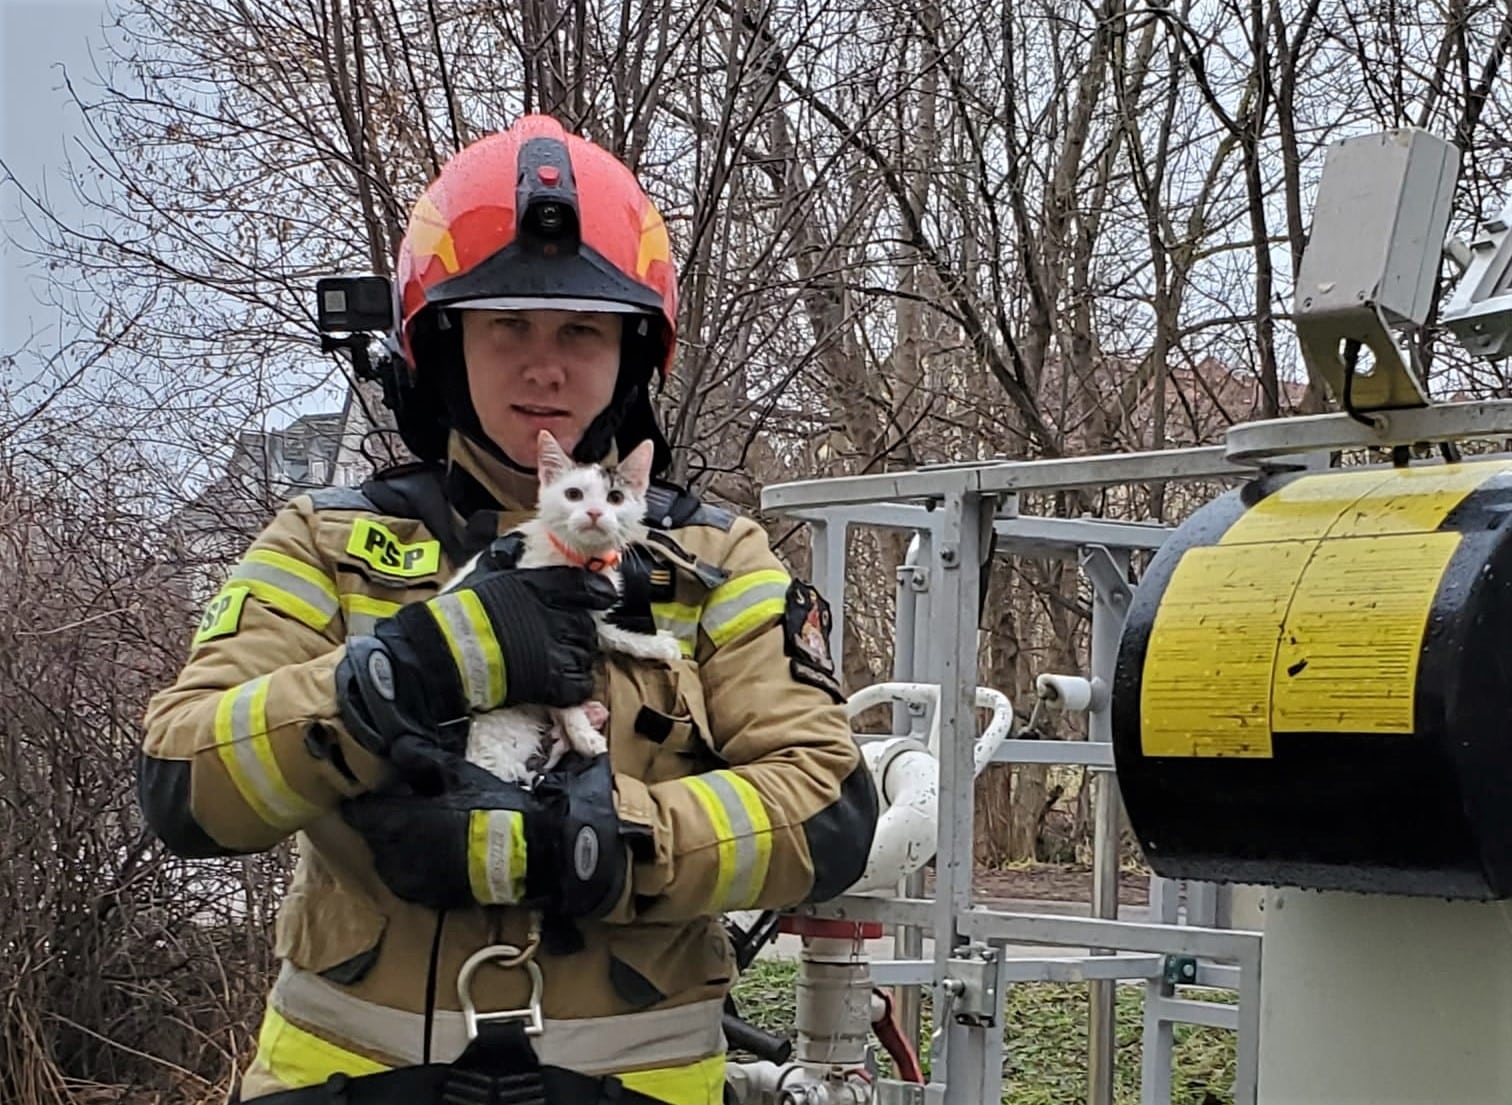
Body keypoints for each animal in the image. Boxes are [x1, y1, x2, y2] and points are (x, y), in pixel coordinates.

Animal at [444, 432, 683, 786]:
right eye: (573, 494)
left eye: (615, 497)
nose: (595, 512)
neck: (580, 562)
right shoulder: (543, 646)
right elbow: (557, 688)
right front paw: (582, 734)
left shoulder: (585, 621)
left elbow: (614, 636)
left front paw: (653, 644)